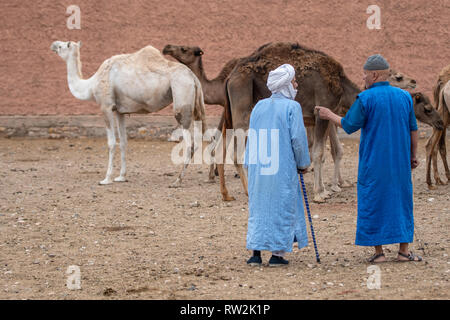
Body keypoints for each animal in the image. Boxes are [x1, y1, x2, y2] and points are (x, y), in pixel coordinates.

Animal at [51, 40, 207, 186]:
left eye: (62, 46)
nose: (53, 44)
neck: (90, 85)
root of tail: (193, 78)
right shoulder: (120, 111)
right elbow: (123, 142)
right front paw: (121, 177)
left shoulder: (106, 107)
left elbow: (111, 143)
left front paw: (106, 178)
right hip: (196, 104)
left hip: (181, 96)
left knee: (189, 143)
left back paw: (177, 180)